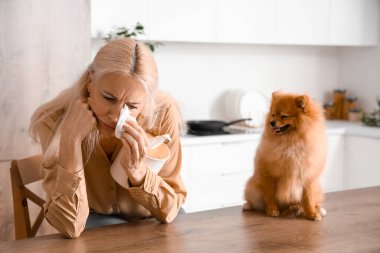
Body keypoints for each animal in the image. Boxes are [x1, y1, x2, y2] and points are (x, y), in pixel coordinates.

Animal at [245, 92, 328, 220]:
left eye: (284, 116)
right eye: (273, 114)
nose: (271, 122)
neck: (291, 142)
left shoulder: (308, 176)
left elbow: (308, 198)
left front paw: (312, 213)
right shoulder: (270, 175)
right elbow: (270, 195)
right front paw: (272, 210)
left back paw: (302, 209)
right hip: (252, 188)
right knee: (255, 202)